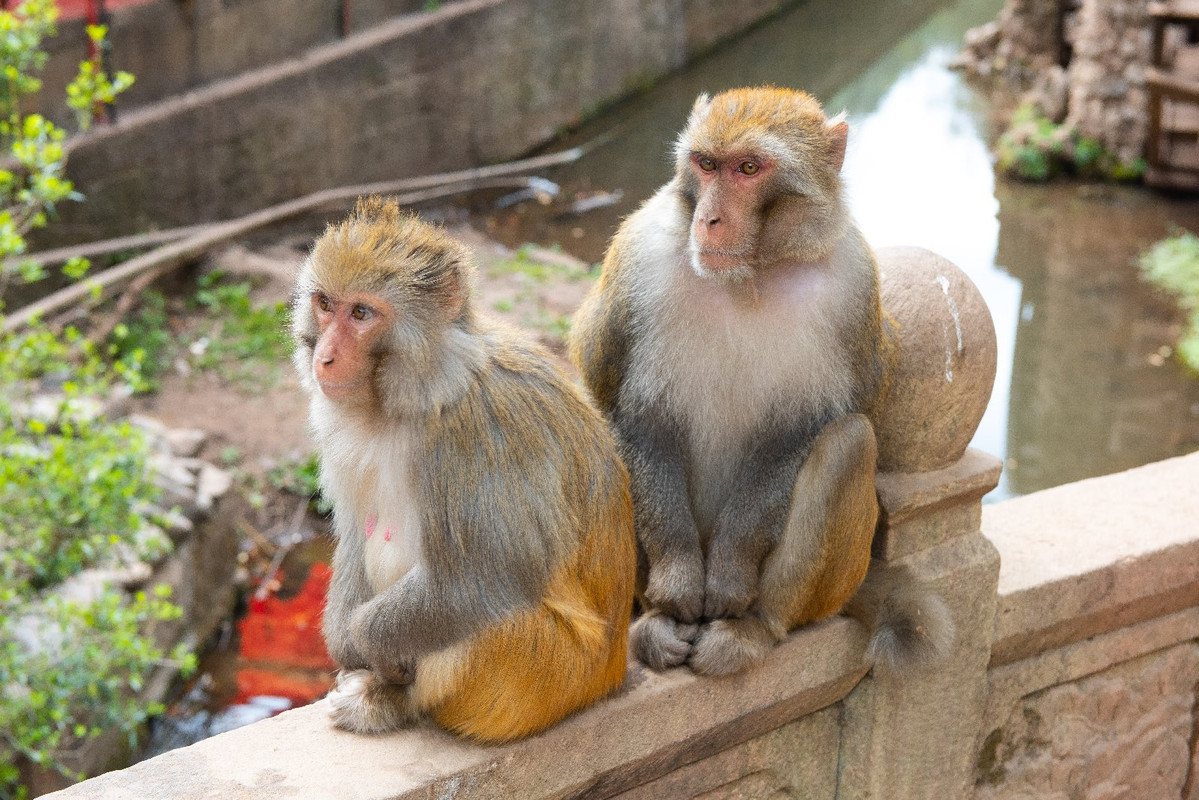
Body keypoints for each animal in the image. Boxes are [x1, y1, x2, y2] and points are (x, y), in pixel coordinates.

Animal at [292, 196, 637, 743]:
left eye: (362, 313)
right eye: (325, 304)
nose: (325, 358)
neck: (419, 393)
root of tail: (611, 670)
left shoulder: (480, 431)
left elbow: (488, 575)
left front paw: (365, 641)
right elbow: (353, 532)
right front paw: (346, 644)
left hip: (540, 674)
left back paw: (395, 700)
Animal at [565, 86, 949, 676]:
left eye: (748, 168)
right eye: (706, 164)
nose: (710, 220)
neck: (752, 273)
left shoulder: (855, 282)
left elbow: (803, 428)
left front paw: (728, 575)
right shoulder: (638, 259)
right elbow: (631, 412)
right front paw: (677, 583)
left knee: (849, 442)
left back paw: (756, 628)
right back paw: (655, 620)